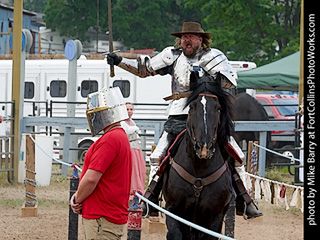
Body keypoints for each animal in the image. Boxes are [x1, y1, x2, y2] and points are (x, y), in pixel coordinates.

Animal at [161, 73, 234, 240]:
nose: (204, 147)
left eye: (218, 109)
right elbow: (175, 234)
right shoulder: (173, 211)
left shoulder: (214, 218)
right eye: (192, 107)